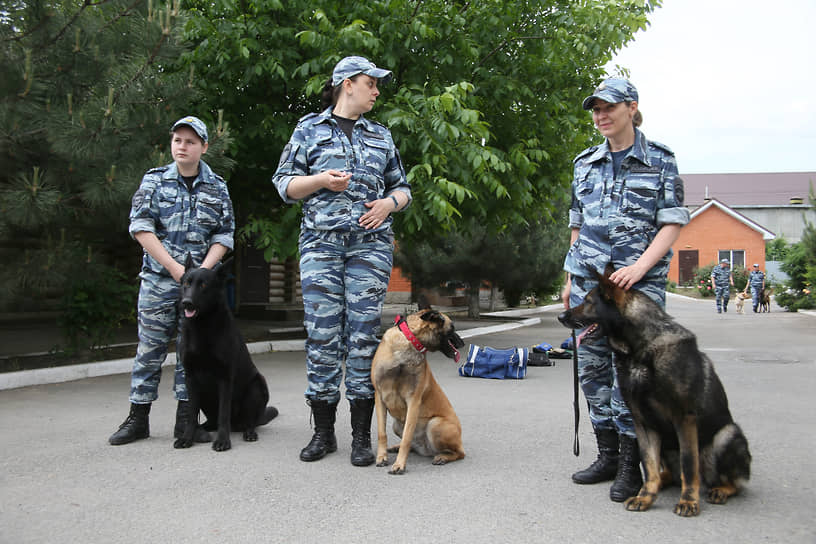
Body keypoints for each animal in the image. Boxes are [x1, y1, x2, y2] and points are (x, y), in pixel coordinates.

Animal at [174, 258, 278, 452]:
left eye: (204, 285)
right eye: (186, 283)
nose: (186, 303)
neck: (202, 326)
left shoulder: (224, 378)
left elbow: (223, 414)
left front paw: (223, 440)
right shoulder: (190, 378)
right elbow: (191, 413)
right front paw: (187, 438)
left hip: (257, 386)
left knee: (249, 421)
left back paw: (249, 432)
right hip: (205, 394)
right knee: (213, 420)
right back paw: (205, 427)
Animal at [372, 308, 466, 474]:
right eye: (452, 328)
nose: (462, 343)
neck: (409, 342)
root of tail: (427, 450)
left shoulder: (413, 401)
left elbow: (407, 438)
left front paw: (399, 464)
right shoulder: (379, 397)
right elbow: (382, 433)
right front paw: (381, 457)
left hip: (435, 424)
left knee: (460, 453)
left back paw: (442, 457)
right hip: (397, 425)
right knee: (413, 446)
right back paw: (396, 447)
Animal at [556, 268, 748, 520]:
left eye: (588, 302)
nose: (561, 316)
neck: (640, 349)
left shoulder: (684, 419)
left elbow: (689, 464)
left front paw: (688, 501)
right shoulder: (643, 422)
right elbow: (648, 464)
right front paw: (645, 497)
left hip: (727, 435)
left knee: (732, 480)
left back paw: (720, 490)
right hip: (665, 442)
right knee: (666, 472)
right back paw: (657, 484)